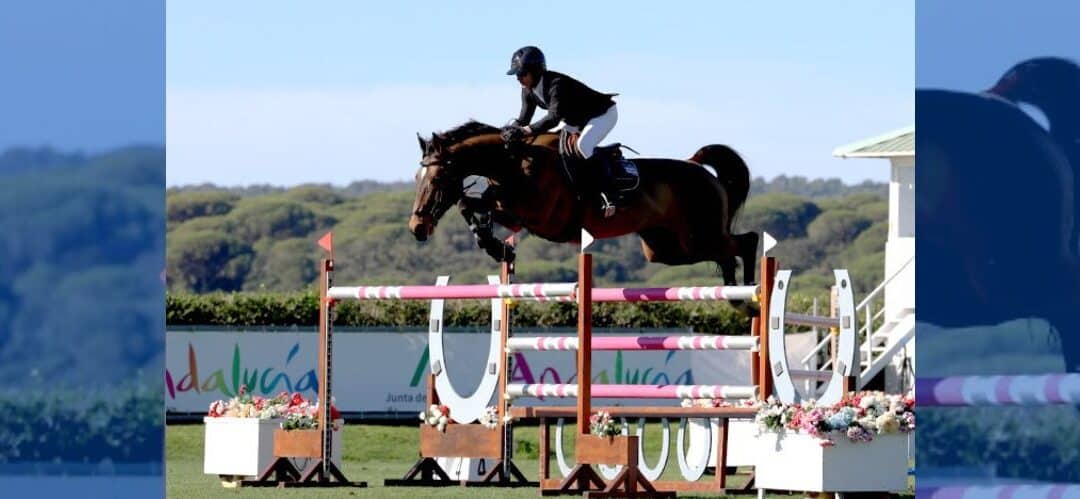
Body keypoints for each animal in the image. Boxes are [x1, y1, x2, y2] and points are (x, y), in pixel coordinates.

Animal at [406, 121, 760, 287]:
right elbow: (469, 204)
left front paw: (496, 246)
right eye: (416, 178)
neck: (513, 162)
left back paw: (749, 294)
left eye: (435, 180)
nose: (417, 228)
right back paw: (735, 297)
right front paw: (497, 247)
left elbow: (472, 203)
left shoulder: (540, 217)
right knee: (726, 254)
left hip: (699, 236)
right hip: (668, 249)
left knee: (746, 242)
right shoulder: (512, 211)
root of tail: (698, 168)